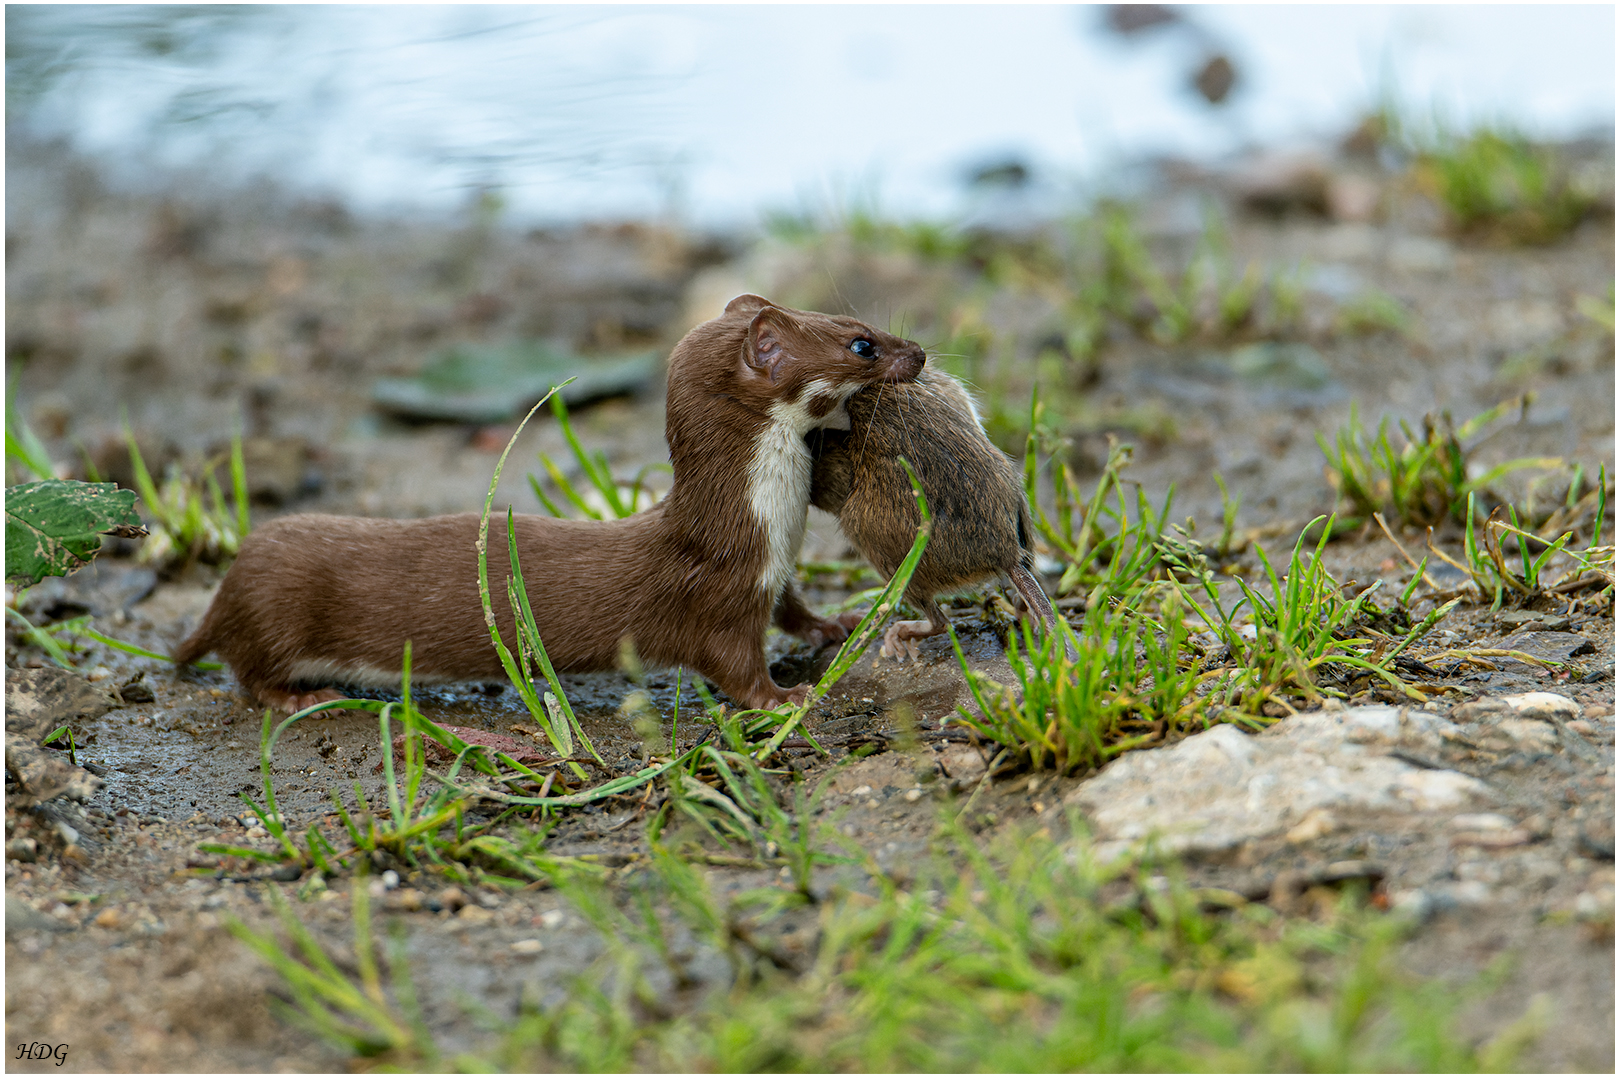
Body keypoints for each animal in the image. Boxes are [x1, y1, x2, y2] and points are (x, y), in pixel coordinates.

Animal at [175, 296, 926, 718]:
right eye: (862, 342)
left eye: (857, 320)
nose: (919, 351)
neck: (774, 525)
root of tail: (228, 584)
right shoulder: (719, 594)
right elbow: (735, 668)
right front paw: (788, 697)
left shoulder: (775, 573)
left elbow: (794, 609)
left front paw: (838, 623)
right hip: (275, 613)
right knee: (247, 673)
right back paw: (306, 697)